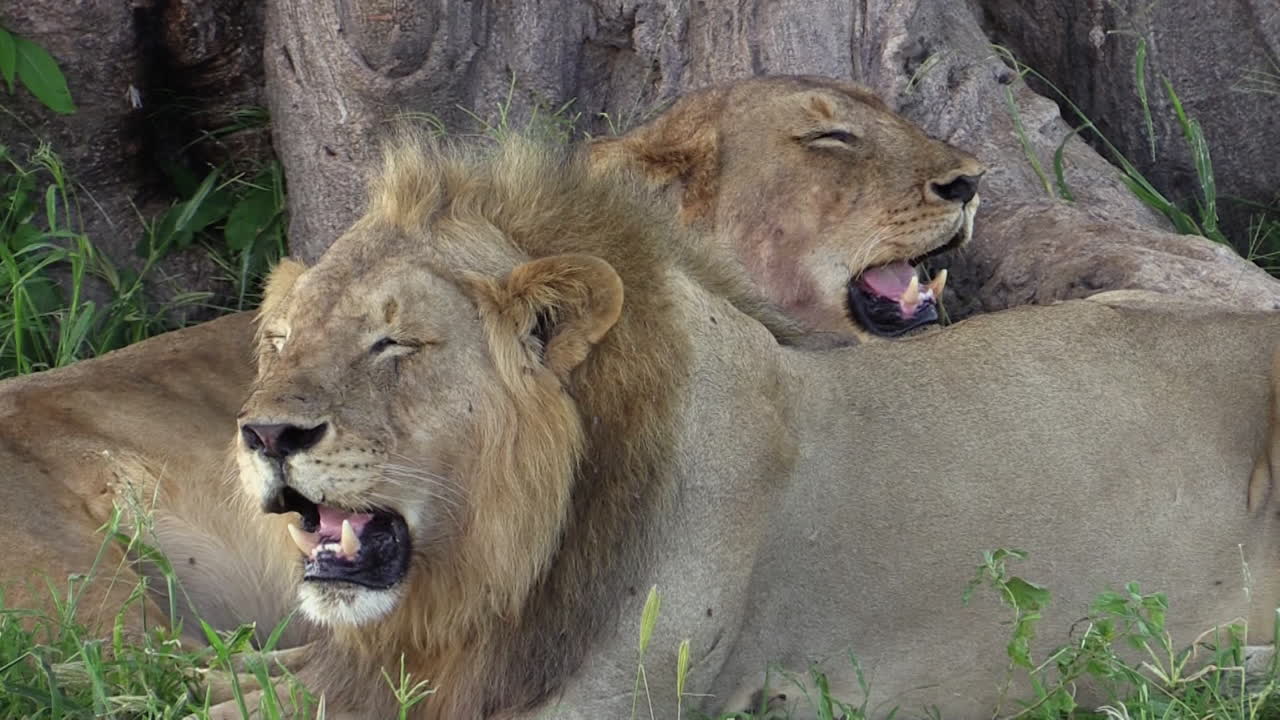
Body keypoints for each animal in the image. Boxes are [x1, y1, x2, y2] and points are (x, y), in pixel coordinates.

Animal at [211, 135, 1279, 719]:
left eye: (393, 342)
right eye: (278, 341)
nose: (264, 435)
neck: (493, 575)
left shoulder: (613, 699)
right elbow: (247, 678)